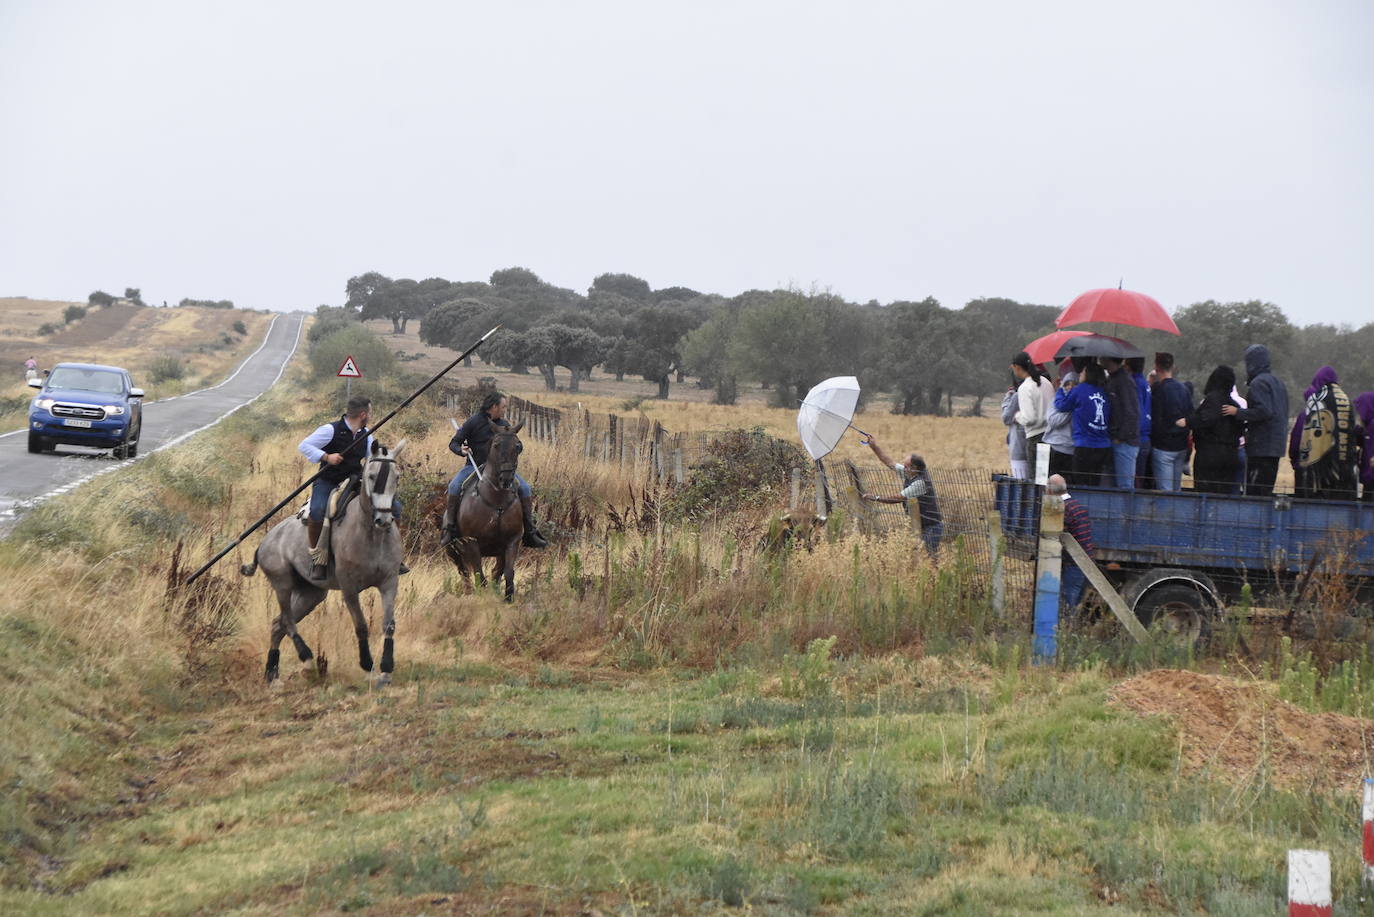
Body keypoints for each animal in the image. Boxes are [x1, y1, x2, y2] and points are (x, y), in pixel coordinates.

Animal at [243, 439, 406, 684]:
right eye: (371, 476)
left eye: (396, 476)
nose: (384, 519)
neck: (371, 535)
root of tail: (265, 541)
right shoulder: (349, 588)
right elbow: (361, 625)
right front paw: (367, 665)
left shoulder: (389, 582)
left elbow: (389, 624)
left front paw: (386, 668)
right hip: (282, 584)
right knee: (287, 622)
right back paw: (307, 659)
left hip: (310, 594)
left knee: (277, 625)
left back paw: (272, 674)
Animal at [445, 426, 524, 602]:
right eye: (495, 445)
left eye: (518, 446)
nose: (506, 478)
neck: (497, 500)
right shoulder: (472, 542)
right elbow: (479, 575)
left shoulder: (512, 541)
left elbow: (508, 571)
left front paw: (508, 598)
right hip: (452, 549)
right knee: (463, 571)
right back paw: (468, 593)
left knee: (495, 571)